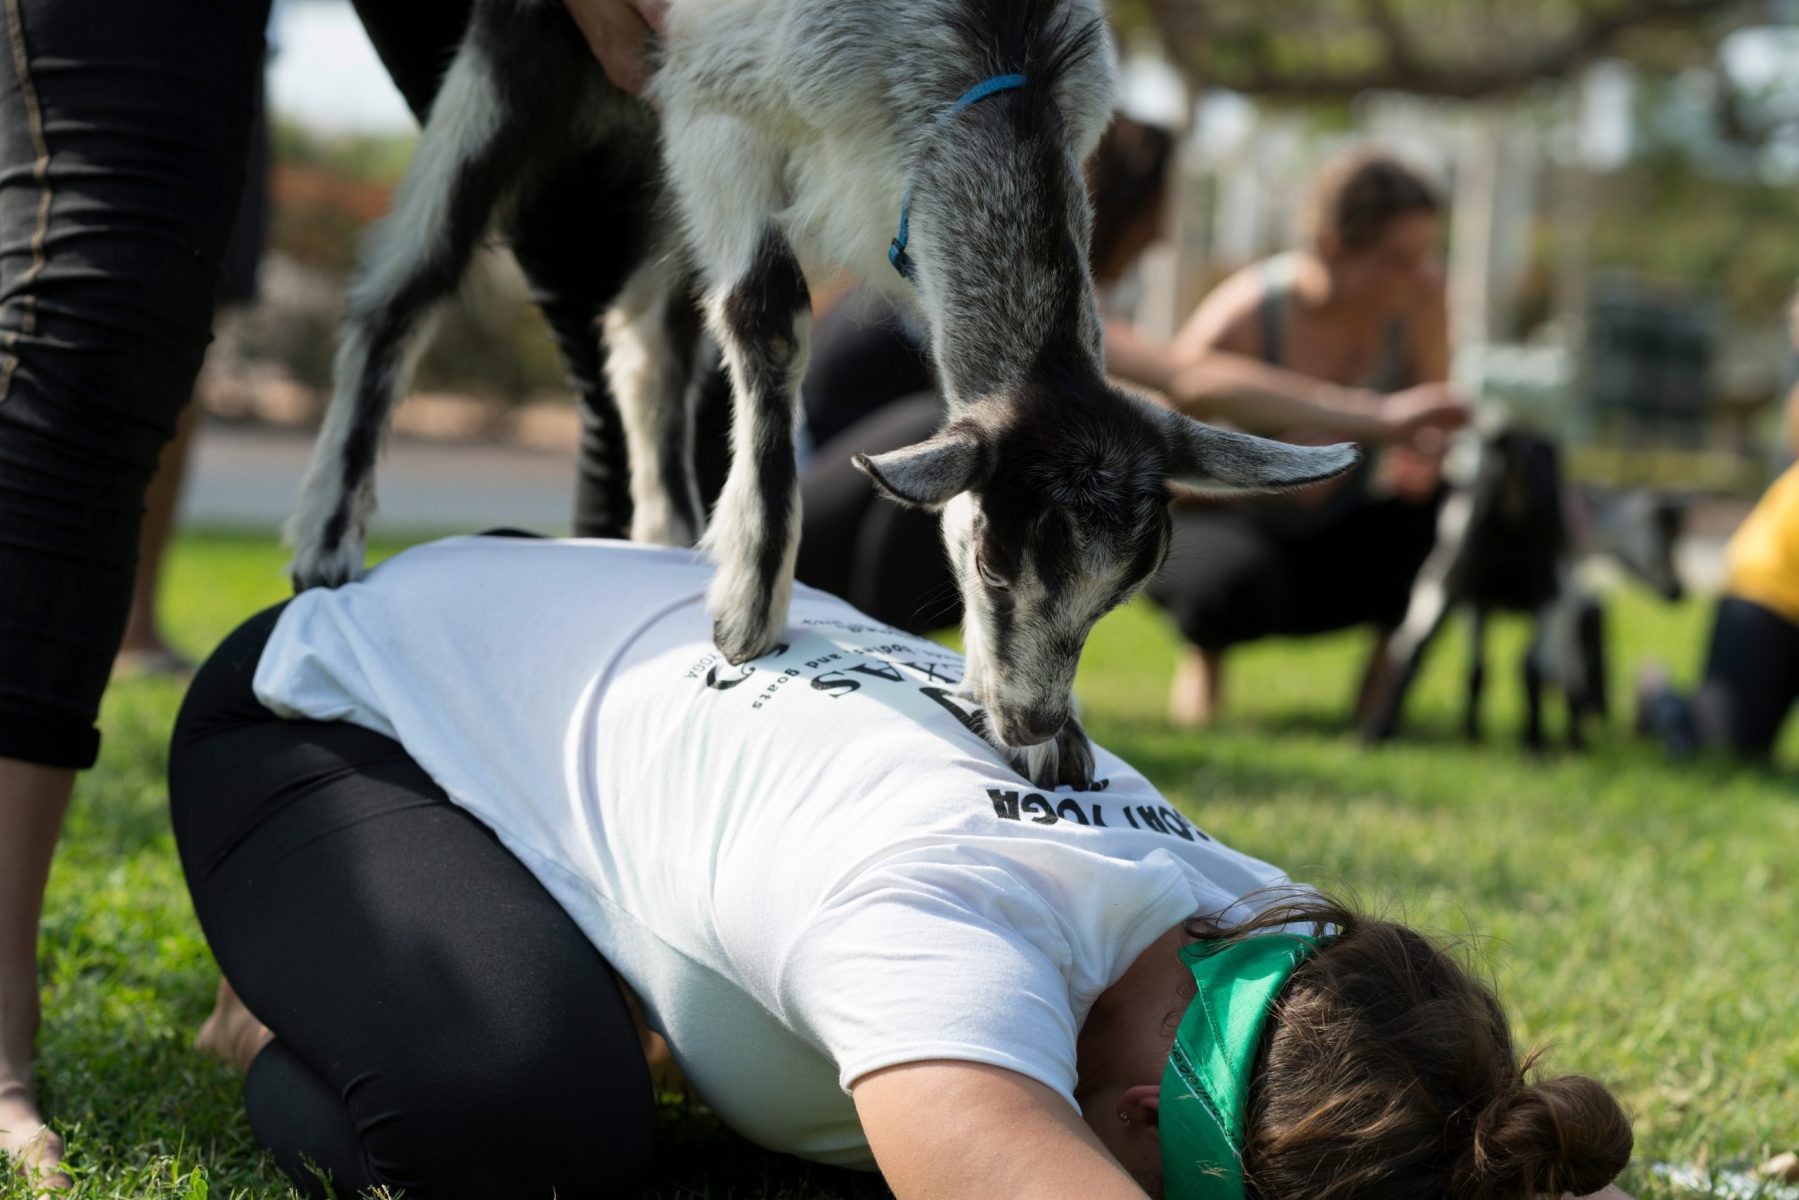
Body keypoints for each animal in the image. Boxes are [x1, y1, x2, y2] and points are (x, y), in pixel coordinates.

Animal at [284, 0, 1352, 788]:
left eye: (1121, 591)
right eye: (995, 564)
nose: (1026, 718)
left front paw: (1054, 741)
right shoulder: (721, 103)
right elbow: (766, 308)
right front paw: (749, 609)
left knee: (645, 337)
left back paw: (667, 534)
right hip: (524, 60)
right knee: (408, 284)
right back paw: (327, 544)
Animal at [1360, 426, 1683, 752]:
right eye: (1665, 541)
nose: (1677, 592)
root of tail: (1513, 451)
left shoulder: (1476, 604)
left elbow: (1477, 669)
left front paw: (1472, 734)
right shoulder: (1566, 604)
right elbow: (1570, 671)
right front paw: (1575, 739)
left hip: (1441, 577)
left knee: (1410, 650)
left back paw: (1378, 733)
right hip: (1545, 590)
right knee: (1532, 665)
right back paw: (1535, 744)